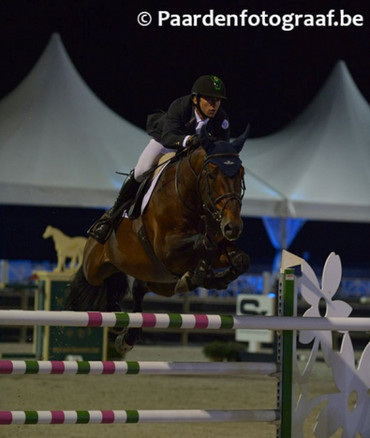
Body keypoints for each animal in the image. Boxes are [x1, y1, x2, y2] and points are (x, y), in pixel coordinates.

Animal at [67, 126, 250, 352]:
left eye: (241, 174)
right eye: (212, 173)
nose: (233, 227)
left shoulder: (212, 248)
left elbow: (240, 259)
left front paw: (213, 277)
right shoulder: (168, 250)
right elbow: (204, 243)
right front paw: (202, 274)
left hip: (159, 281)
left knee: (138, 288)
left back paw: (127, 334)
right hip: (95, 267)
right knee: (98, 280)